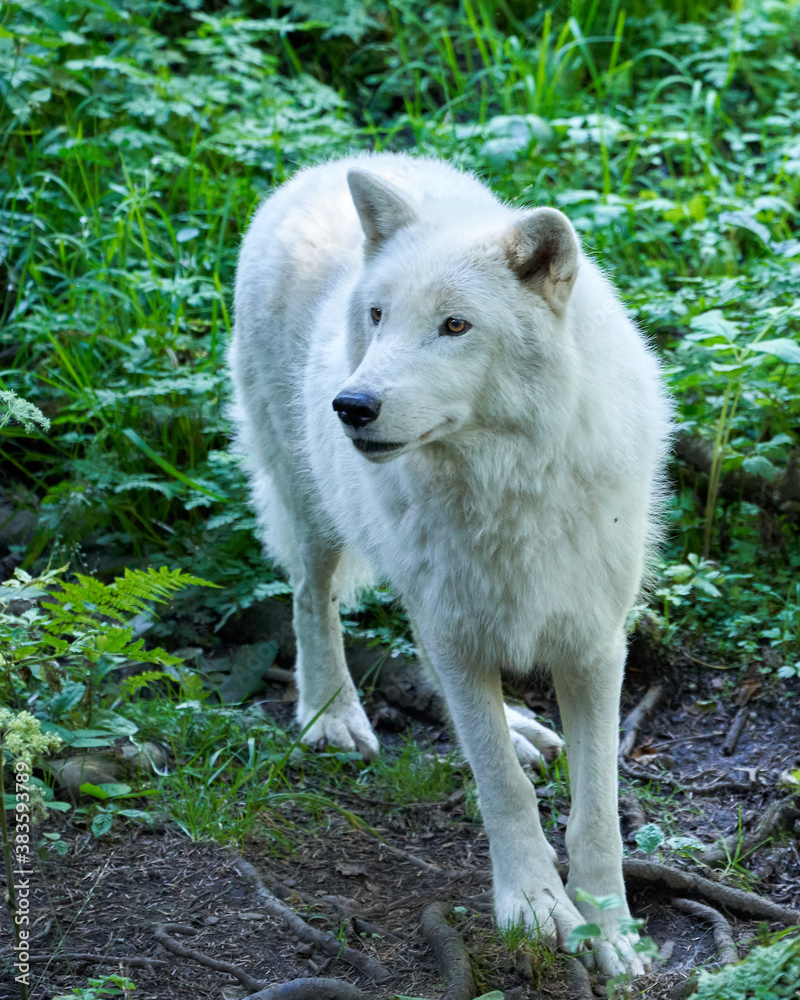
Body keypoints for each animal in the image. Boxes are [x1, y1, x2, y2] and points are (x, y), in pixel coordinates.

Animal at [229, 152, 671, 976]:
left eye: (455, 325)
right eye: (378, 316)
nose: (352, 405)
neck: (509, 484)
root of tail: (322, 167)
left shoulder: (594, 644)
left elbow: (597, 806)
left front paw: (609, 927)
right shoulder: (458, 631)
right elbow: (501, 785)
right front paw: (534, 905)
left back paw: (523, 727)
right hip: (311, 501)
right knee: (310, 596)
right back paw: (331, 713)